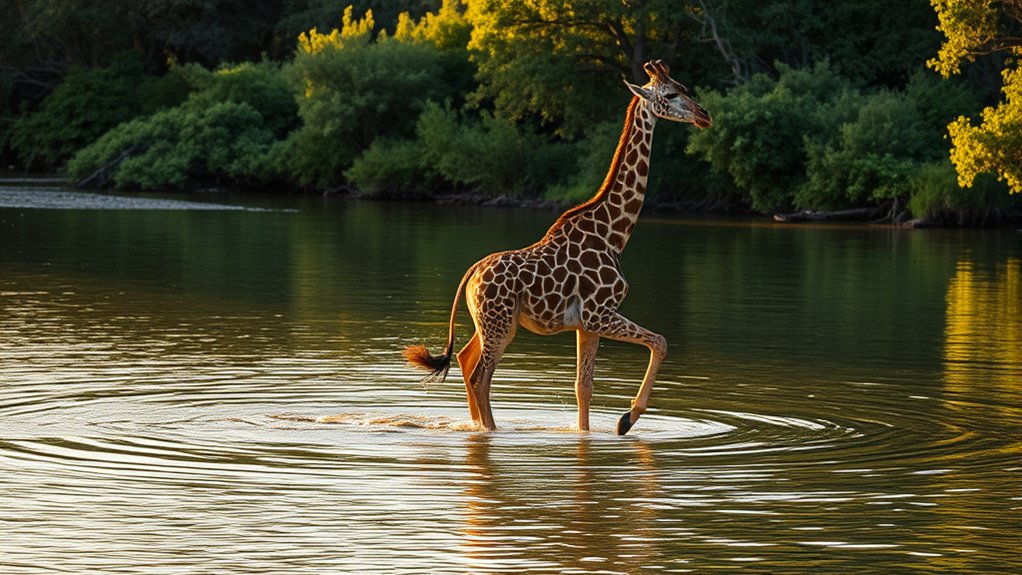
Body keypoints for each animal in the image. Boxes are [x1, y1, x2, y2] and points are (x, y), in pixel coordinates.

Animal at [404, 60, 711, 435]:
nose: (704, 115)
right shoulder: (599, 313)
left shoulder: (586, 324)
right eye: (670, 94)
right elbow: (661, 341)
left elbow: (583, 387)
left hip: (491, 323)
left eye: (684, 87)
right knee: (480, 376)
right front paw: (626, 419)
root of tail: (472, 273)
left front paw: (596, 430)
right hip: (499, 324)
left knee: (465, 360)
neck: (614, 235)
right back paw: (491, 431)